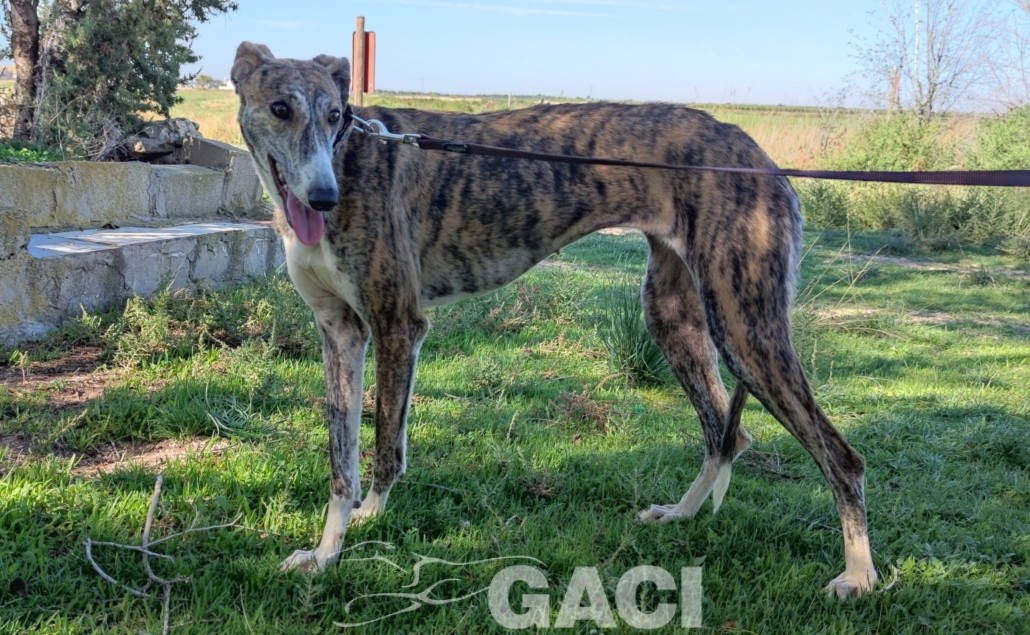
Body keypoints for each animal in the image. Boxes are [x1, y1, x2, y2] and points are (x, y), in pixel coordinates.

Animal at [231, 41, 878, 599]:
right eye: (281, 108)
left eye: (335, 115)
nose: (323, 198)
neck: (350, 157)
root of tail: (758, 156)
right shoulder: (340, 332)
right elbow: (340, 457)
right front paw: (324, 554)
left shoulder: (397, 325)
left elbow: (388, 446)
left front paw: (366, 522)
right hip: (674, 316)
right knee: (727, 431)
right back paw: (680, 513)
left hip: (745, 328)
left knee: (841, 457)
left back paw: (859, 576)